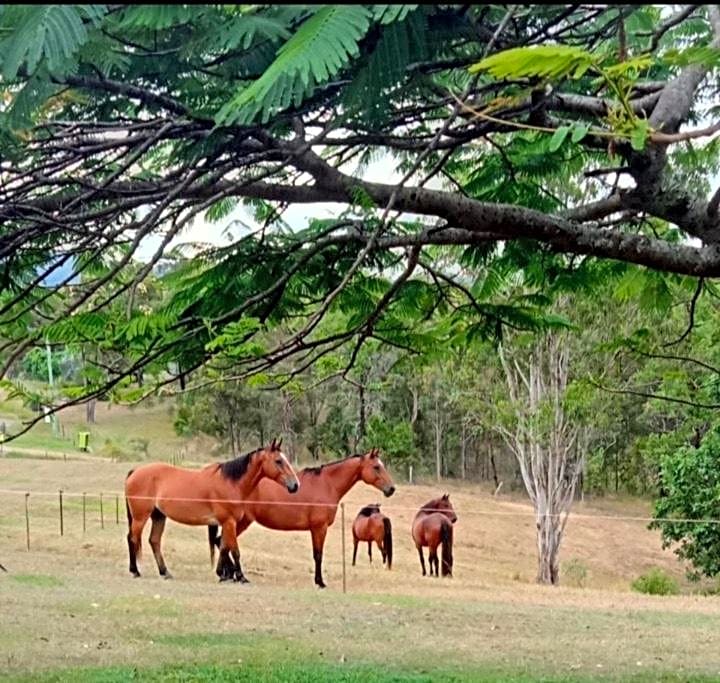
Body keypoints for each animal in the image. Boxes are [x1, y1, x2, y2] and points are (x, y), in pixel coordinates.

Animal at [211, 448, 396, 588]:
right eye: (376, 467)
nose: (391, 488)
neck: (327, 484)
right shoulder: (319, 528)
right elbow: (318, 555)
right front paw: (320, 582)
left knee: (222, 542)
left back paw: (225, 574)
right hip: (240, 521)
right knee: (224, 542)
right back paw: (232, 574)